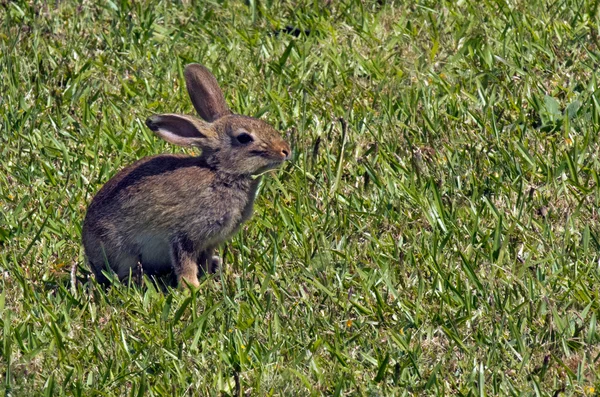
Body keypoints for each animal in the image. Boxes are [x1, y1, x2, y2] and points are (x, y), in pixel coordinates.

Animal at [81, 62, 290, 288]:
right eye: (244, 138)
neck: (220, 172)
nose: (285, 150)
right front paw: (192, 287)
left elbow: (203, 258)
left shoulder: (209, 242)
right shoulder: (186, 234)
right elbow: (185, 261)